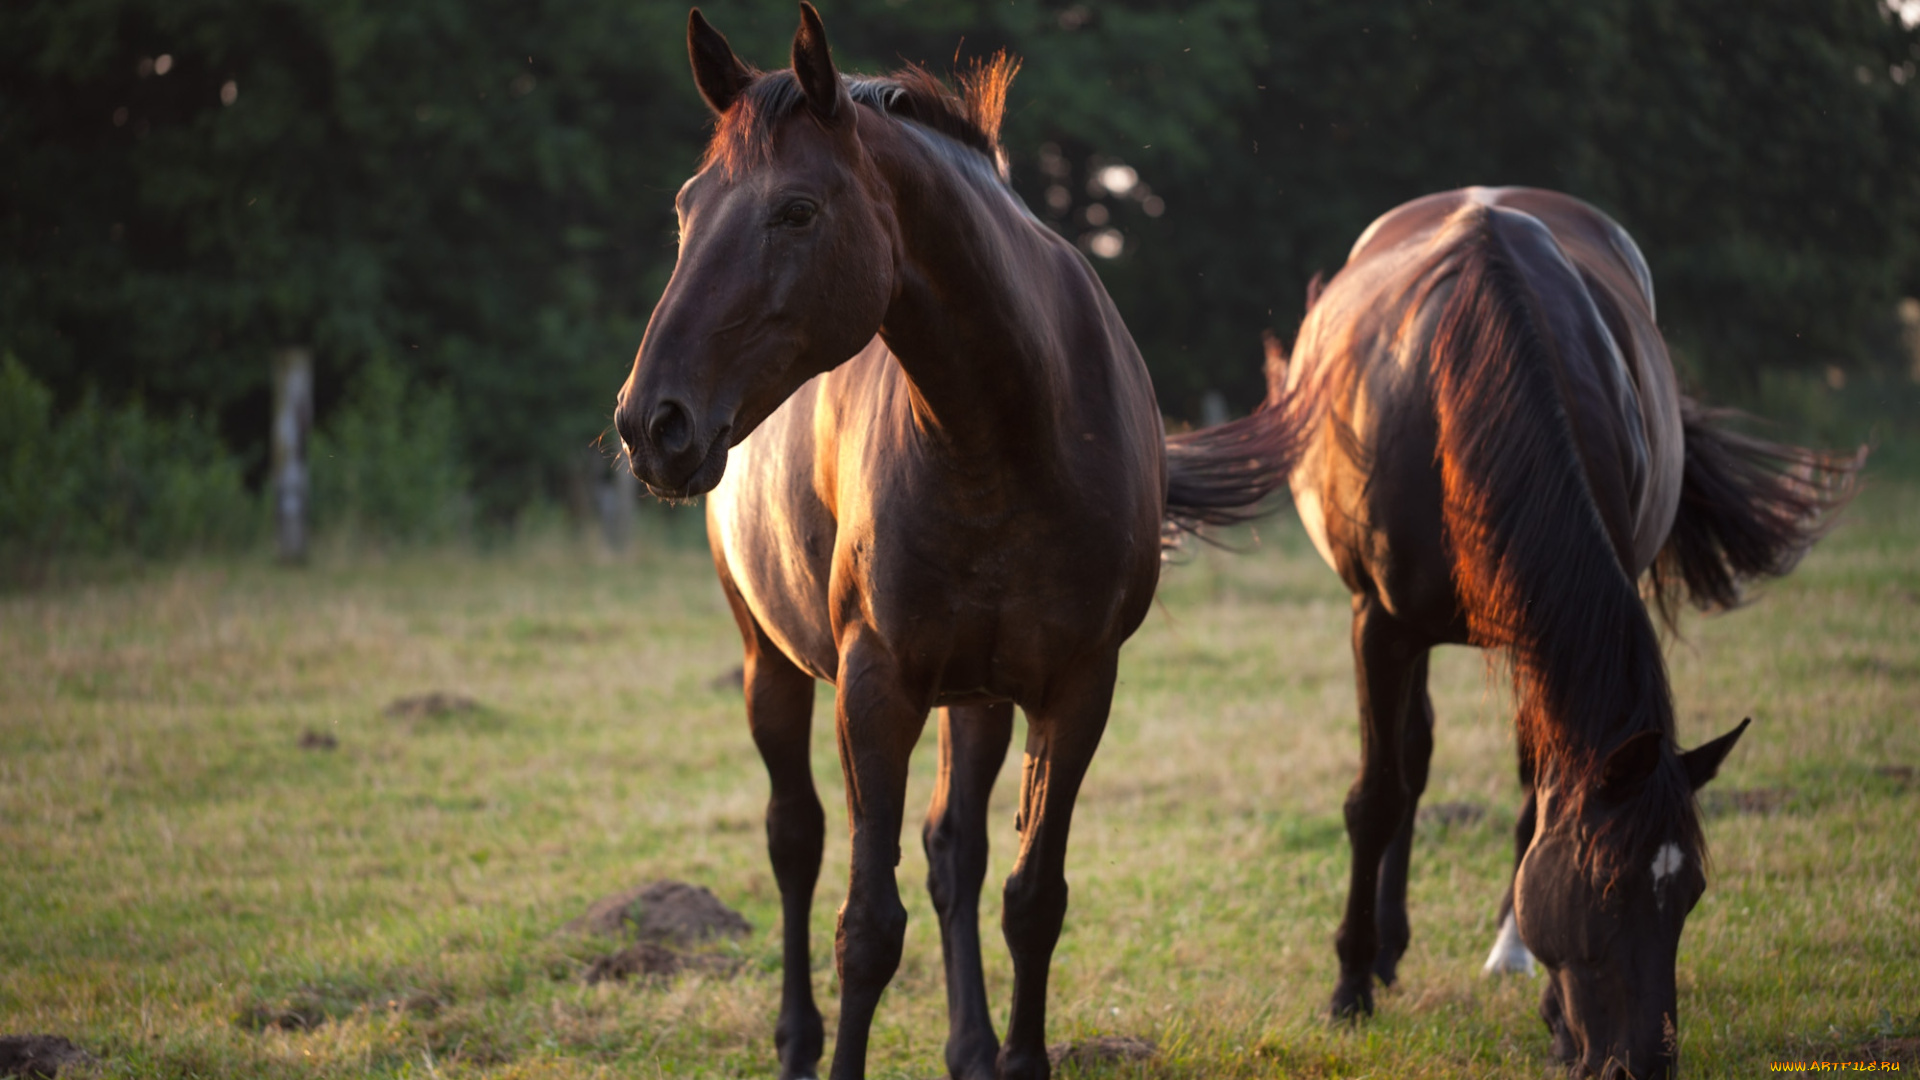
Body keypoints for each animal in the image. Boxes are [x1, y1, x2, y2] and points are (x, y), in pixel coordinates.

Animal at [614, 8, 1305, 1076]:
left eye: (797, 212)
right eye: (689, 208)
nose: (653, 423)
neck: (1004, 433)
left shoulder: (1077, 688)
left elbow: (1031, 899)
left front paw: (1018, 1056)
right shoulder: (875, 686)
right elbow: (866, 925)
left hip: (976, 695)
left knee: (953, 853)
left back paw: (971, 1045)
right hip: (770, 657)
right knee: (796, 839)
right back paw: (797, 1041)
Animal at [1274, 189, 1858, 1068]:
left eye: (1691, 894)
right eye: (1607, 888)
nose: (1642, 1064)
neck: (1459, 381)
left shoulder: (1540, 630)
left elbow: (1535, 805)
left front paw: (1547, 1004)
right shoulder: (1377, 623)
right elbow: (1376, 794)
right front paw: (1347, 986)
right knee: (1409, 759)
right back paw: (1380, 954)